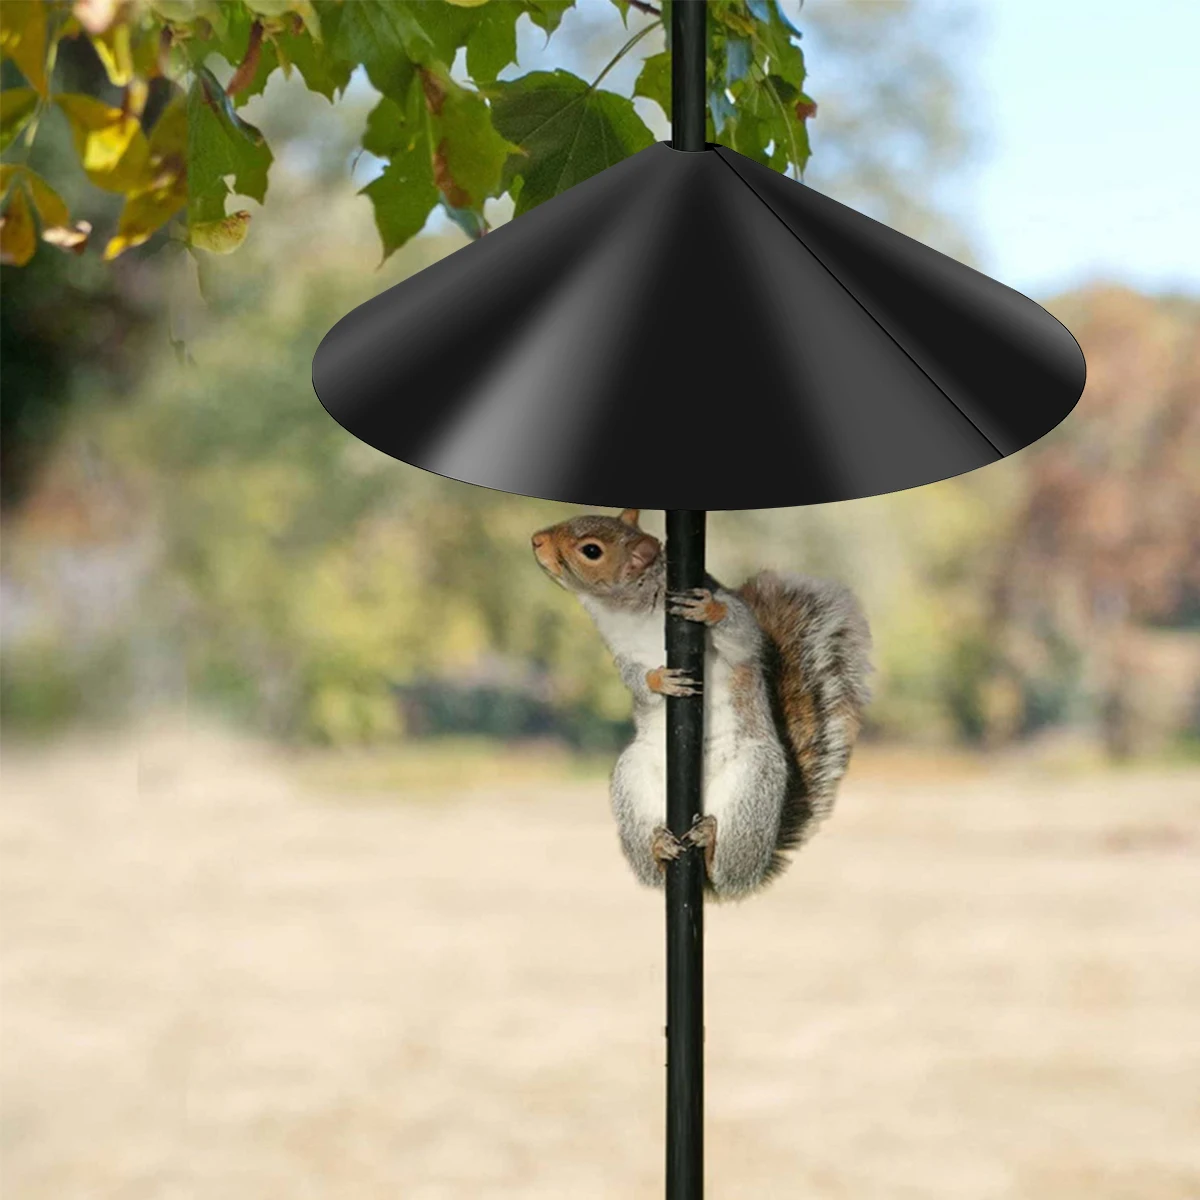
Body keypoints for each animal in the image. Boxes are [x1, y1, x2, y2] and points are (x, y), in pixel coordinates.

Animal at [532, 509, 872, 900]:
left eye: (591, 550)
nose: (536, 541)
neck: (628, 610)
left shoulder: (739, 630)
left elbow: (742, 634)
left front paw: (709, 609)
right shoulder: (622, 654)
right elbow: (635, 678)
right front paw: (659, 681)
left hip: (753, 786)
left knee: (726, 871)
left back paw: (710, 846)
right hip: (632, 779)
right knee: (654, 872)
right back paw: (659, 849)